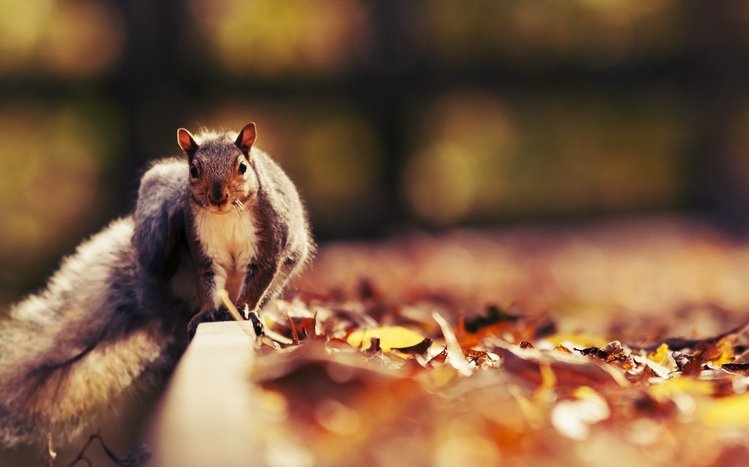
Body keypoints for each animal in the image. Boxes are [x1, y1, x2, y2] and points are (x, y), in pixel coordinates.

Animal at [0, 122, 313, 447]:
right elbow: (208, 283)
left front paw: (245, 310)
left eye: (242, 167)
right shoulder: (204, 251)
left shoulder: (269, 240)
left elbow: (259, 275)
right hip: (154, 236)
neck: (225, 214)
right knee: (165, 260)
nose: (217, 196)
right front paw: (206, 312)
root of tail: (156, 303)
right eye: (193, 170)